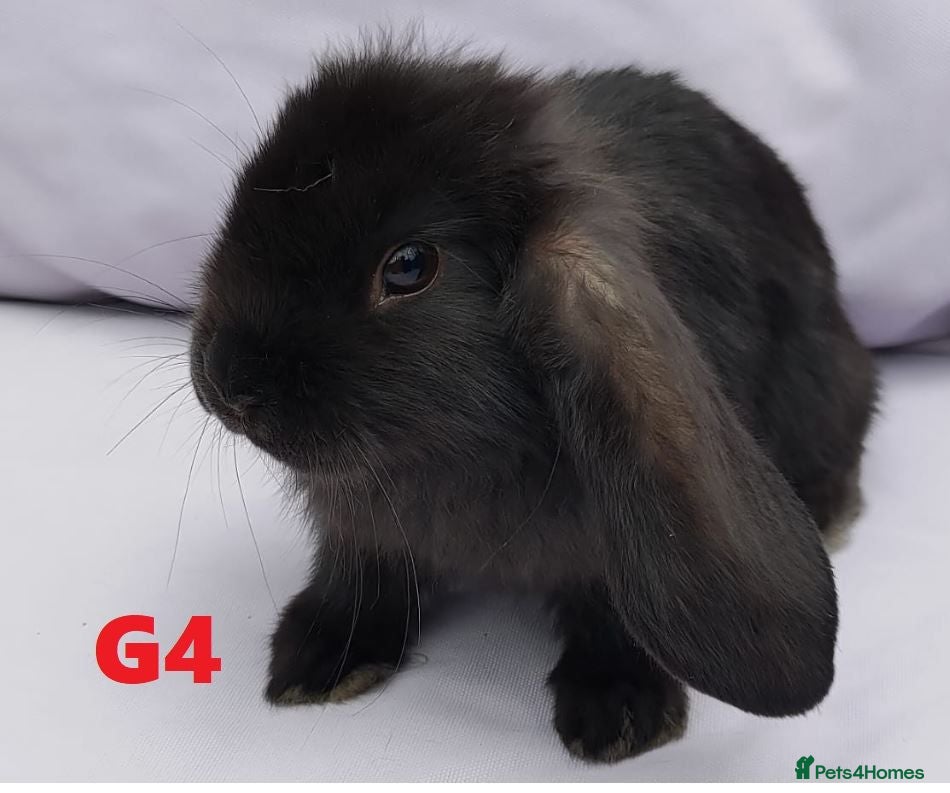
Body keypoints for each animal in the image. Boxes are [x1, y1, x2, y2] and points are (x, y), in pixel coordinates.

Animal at [189, 37, 878, 763]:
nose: (229, 384)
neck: (451, 457)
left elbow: (615, 615)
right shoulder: (363, 528)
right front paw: (320, 656)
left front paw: (618, 711)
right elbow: (362, 571)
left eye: (409, 265)